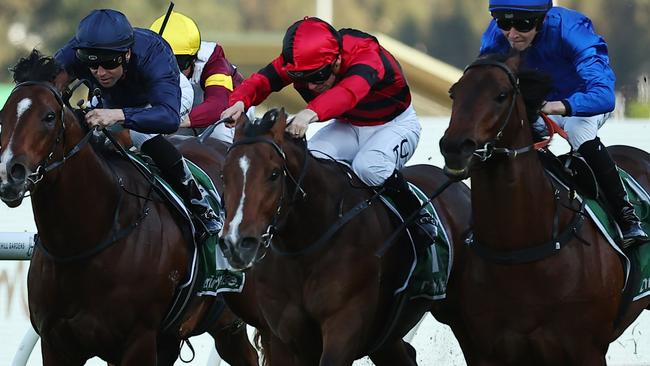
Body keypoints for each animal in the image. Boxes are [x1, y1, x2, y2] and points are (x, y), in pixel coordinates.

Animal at [0, 51, 258, 366]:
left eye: (49, 116)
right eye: (2, 115)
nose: (9, 174)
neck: (84, 243)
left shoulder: (139, 340)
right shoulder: (55, 344)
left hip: (230, 323)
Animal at [218, 110, 470, 364]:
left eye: (274, 174)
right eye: (223, 175)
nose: (237, 243)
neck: (303, 247)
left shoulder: (344, 325)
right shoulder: (283, 337)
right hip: (384, 341)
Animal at [436, 52, 648, 366]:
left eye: (501, 95)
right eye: (454, 92)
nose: (455, 147)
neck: (521, 250)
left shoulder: (587, 350)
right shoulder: (489, 351)